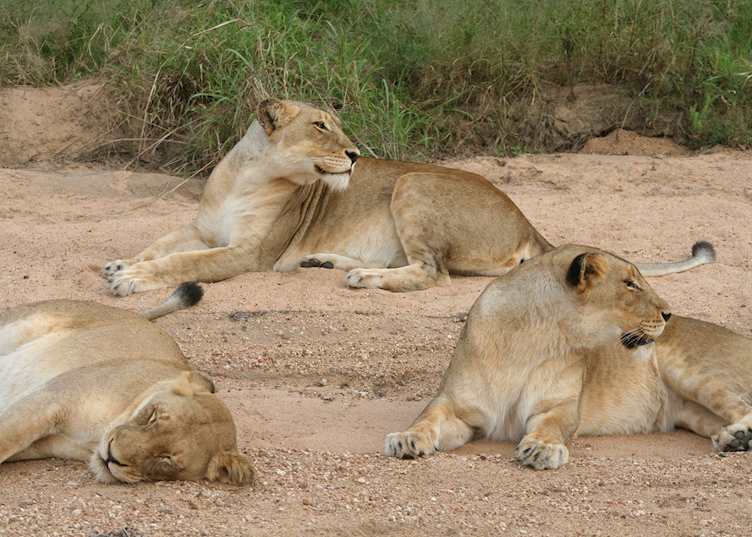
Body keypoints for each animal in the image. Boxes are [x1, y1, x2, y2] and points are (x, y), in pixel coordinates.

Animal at [0, 283, 254, 484]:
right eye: (153, 416)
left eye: (165, 459)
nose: (112, 456)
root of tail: (134, 314)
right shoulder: (52, 397)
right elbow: (7, 438)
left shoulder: (40, 439)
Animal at [102, 99, 714, 295]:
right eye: (322, 126)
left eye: (338, 126)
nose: (355, 155)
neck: (250, 174)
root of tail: (527, 221)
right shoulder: (202, 229)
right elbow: (164, 244)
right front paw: (121, 263)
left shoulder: (247, 253)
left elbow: (185, 262)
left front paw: (131, 278)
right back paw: (329, 261)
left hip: (413, 183)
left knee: (431, 272)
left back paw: (364, 277)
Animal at [384, 244, 751, 468]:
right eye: (630, 284)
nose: (668, 314)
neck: (535, 337)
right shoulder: (458, 406)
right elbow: (427, 417)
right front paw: (406, 439)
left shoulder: (557, 406)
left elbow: (553, 424)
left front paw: (542, 449)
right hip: (692, 411)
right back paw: (733, 439)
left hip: (690, 371)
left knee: (743, 406)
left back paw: (737, 437)